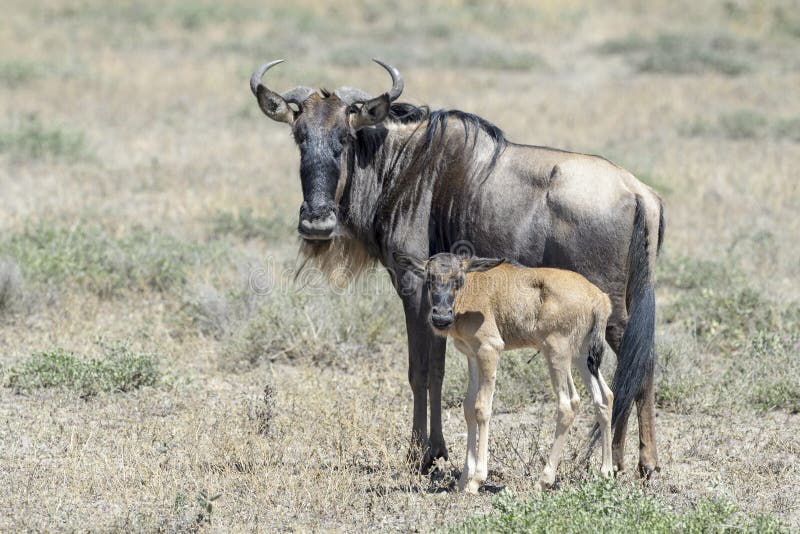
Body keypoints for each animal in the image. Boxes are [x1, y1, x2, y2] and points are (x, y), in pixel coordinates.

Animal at [394, 253, 612, 496]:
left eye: (459, 279)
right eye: (429, 278)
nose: (441, 317)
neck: (473, 288)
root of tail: (598, 297)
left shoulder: (490, 350)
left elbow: (482, 408)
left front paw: (476, 481)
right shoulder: (472, 355)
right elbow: (468, 407)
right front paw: (463, 480)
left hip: (556, 353)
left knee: (568, 404)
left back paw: (543, 480)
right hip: (581, 357)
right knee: (604, 397)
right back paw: (606, 472)